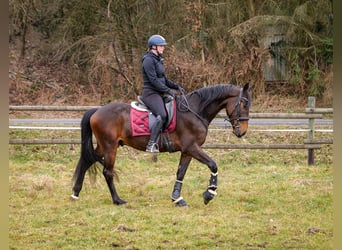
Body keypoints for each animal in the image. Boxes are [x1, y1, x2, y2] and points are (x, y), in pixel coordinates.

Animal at [71, 83, 251, 206]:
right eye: (244, 104)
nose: (242, 131)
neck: (194, 111)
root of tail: (97, 111)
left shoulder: (187, 151)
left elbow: (180, 173)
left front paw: (177, 198)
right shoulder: (192, 147)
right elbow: (213, 165)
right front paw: (209, 193)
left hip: (104, 146)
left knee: (87, 160)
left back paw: (75, 193)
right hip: (110, 147)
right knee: (107, 172)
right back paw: (117, 200)